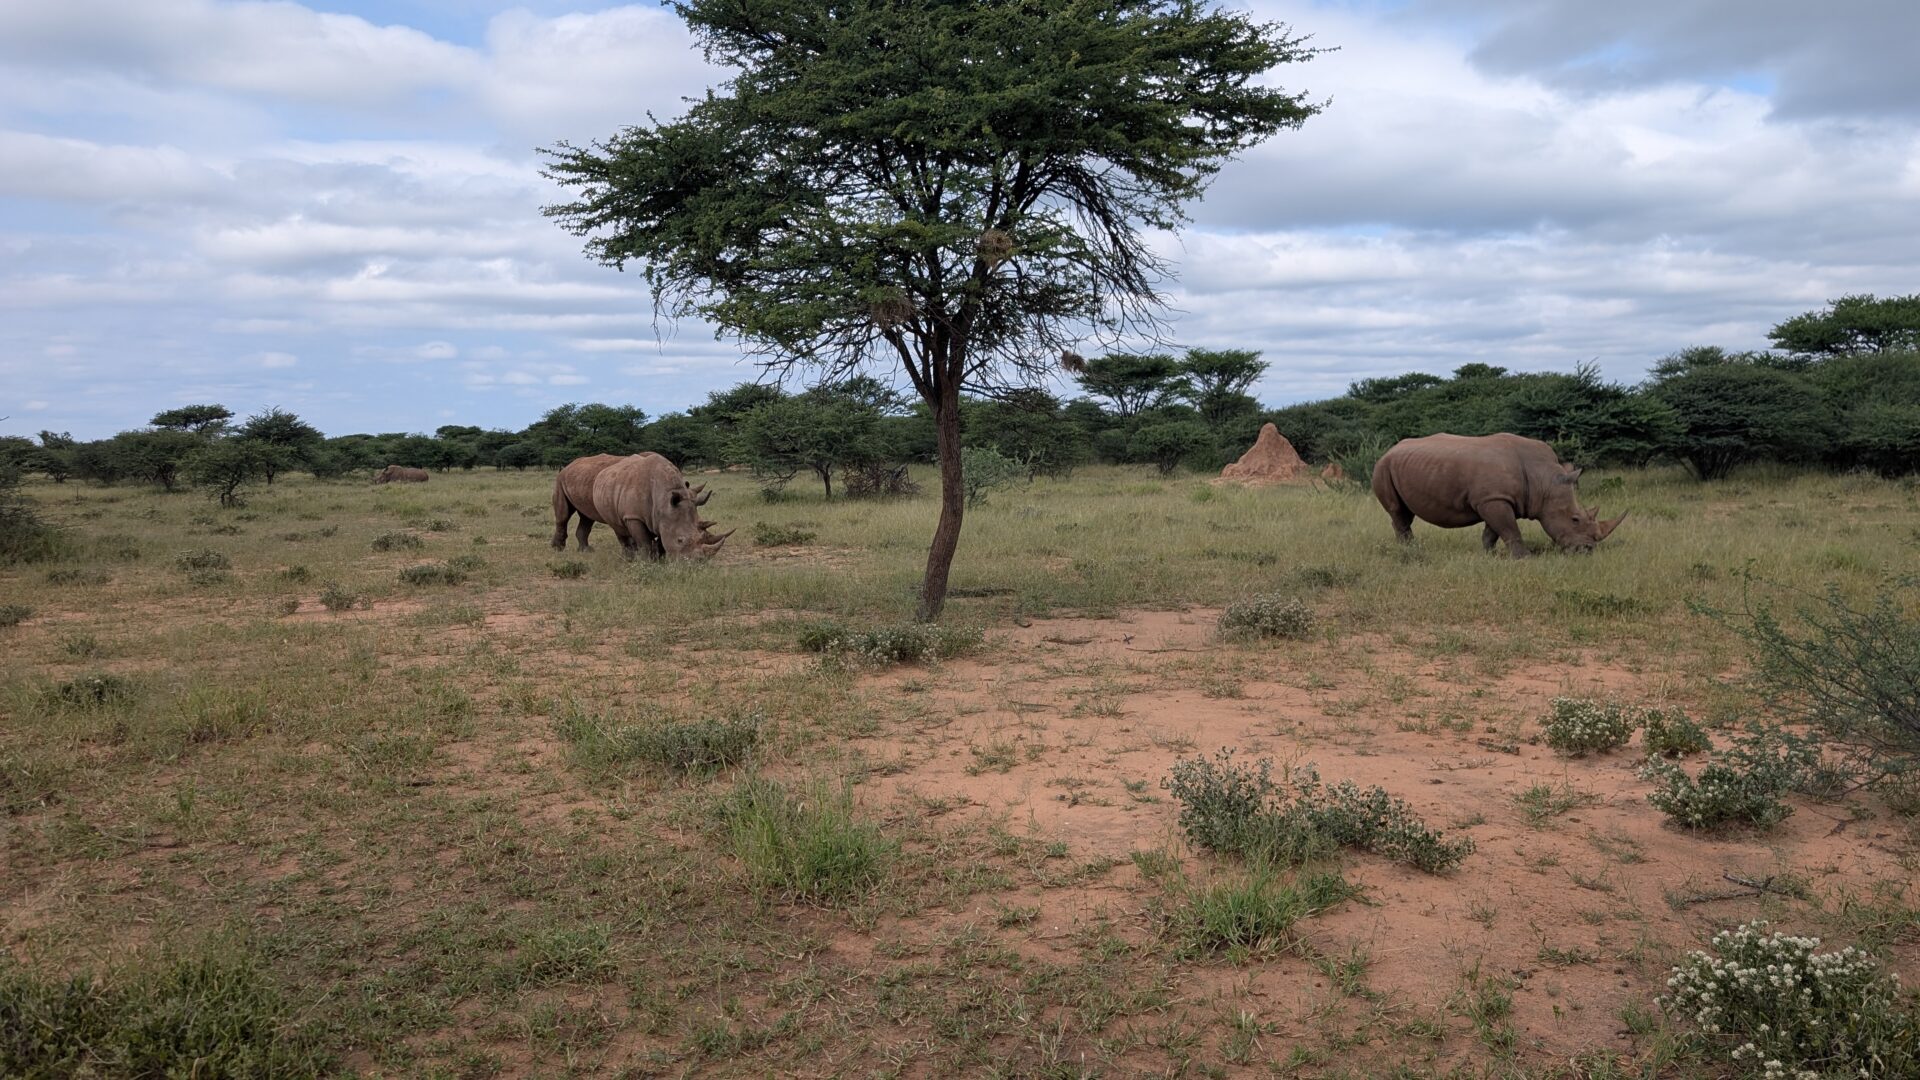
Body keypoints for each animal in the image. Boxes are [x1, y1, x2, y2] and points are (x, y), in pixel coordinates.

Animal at [550, 453, 732, 560]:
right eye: (680, 540)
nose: (697, 563)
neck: (664, 498)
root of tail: (570, 464)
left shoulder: (664, 517)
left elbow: (661, 538)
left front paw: (661, 559)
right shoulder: (634, 516)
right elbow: (644, 541)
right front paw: (647, 562)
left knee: (588, 517)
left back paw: (587, 551)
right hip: (561, 479)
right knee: (563, 515)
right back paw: (557, 550)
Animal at [1371, 433, 1625, 557]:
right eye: (1575, 519)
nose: (1587, 551)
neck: (1544, 481)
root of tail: (1389, 449)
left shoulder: (1495, 498)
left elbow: (1493, 532)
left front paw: (1489, 555)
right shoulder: (1494, 499)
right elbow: (1510, 530)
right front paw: (1524, 558)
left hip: (1400, 466)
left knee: (1405, 512)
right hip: (1383, 467)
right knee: (1397, 511)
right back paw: (1410, 551)